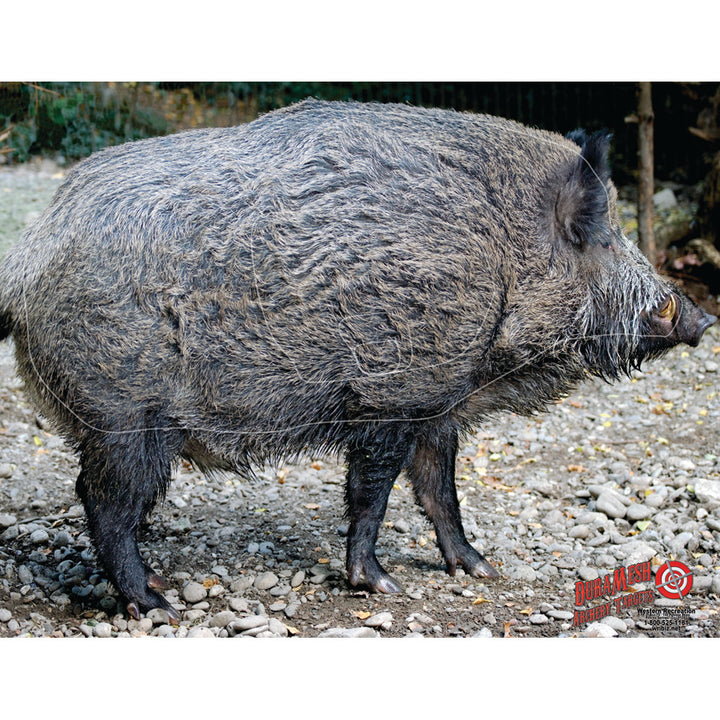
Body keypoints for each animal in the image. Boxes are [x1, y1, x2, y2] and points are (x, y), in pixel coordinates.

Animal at [0, 99, 715, 619]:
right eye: (600, 235)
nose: (701, 316)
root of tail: (30, 256)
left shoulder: (437, 402)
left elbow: (439, 489)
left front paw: (479, 568)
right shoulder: (390, 395)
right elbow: (372, 492)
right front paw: (381, 585)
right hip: (121, 414)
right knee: (104, 505)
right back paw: (158, 605)